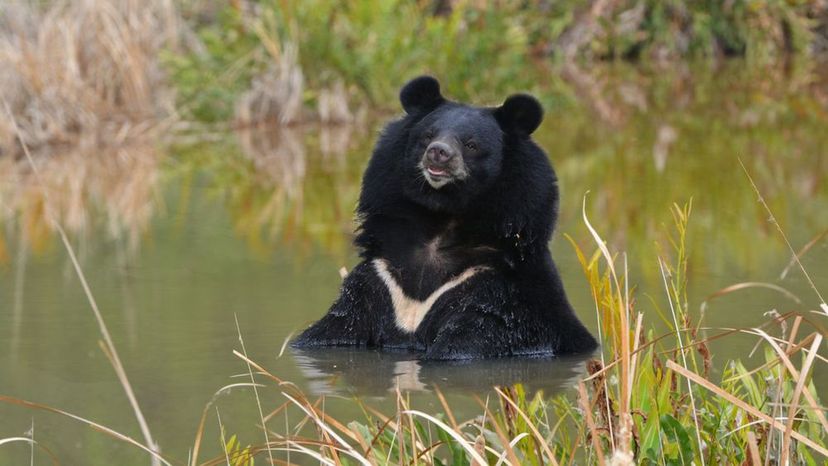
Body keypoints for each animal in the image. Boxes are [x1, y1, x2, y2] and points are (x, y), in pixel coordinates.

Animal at [294, 76, 600, 360]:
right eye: (428, 135)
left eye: (471, 144)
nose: (438, 153)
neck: (443, 216)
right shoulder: (381, 277)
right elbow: (334, 328)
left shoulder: (496, 291)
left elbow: (469, 341)